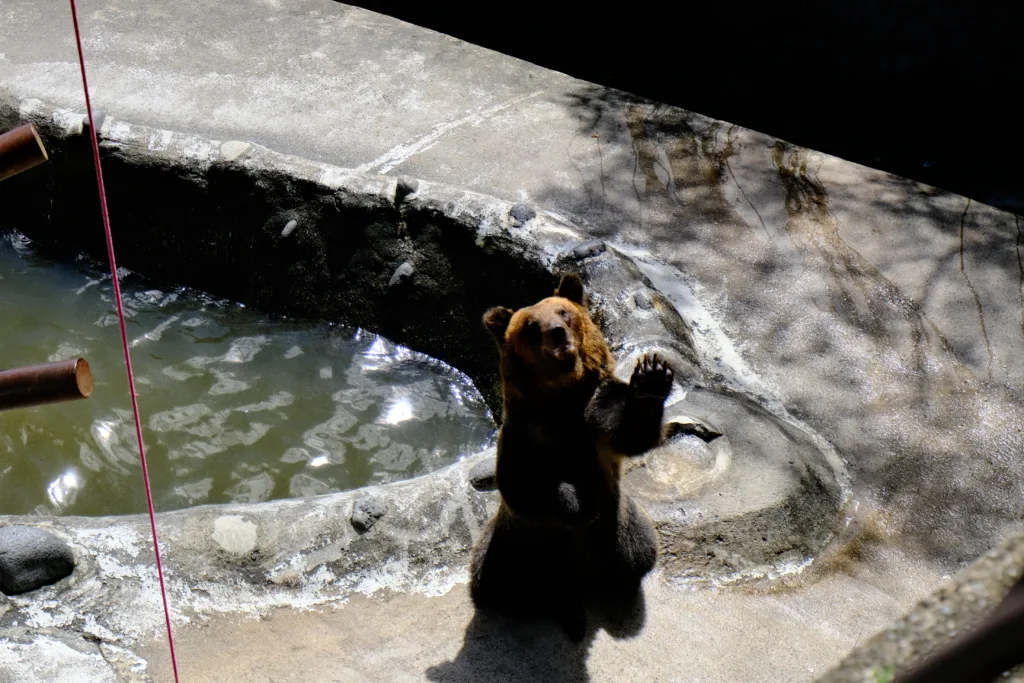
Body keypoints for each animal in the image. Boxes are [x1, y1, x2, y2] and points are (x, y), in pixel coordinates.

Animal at [468, 270, 675, 643]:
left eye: (563, 312)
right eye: (531, 326)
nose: (557, 332)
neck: (563, 400)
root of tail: (582, 582)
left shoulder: (598, 412)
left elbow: (633, 432)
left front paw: (652, 377)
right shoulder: (525, 433)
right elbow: (526, 483)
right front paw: (580, 504)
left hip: (623, 528)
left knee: (640, 552)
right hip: (514, 551)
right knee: (495, 582)